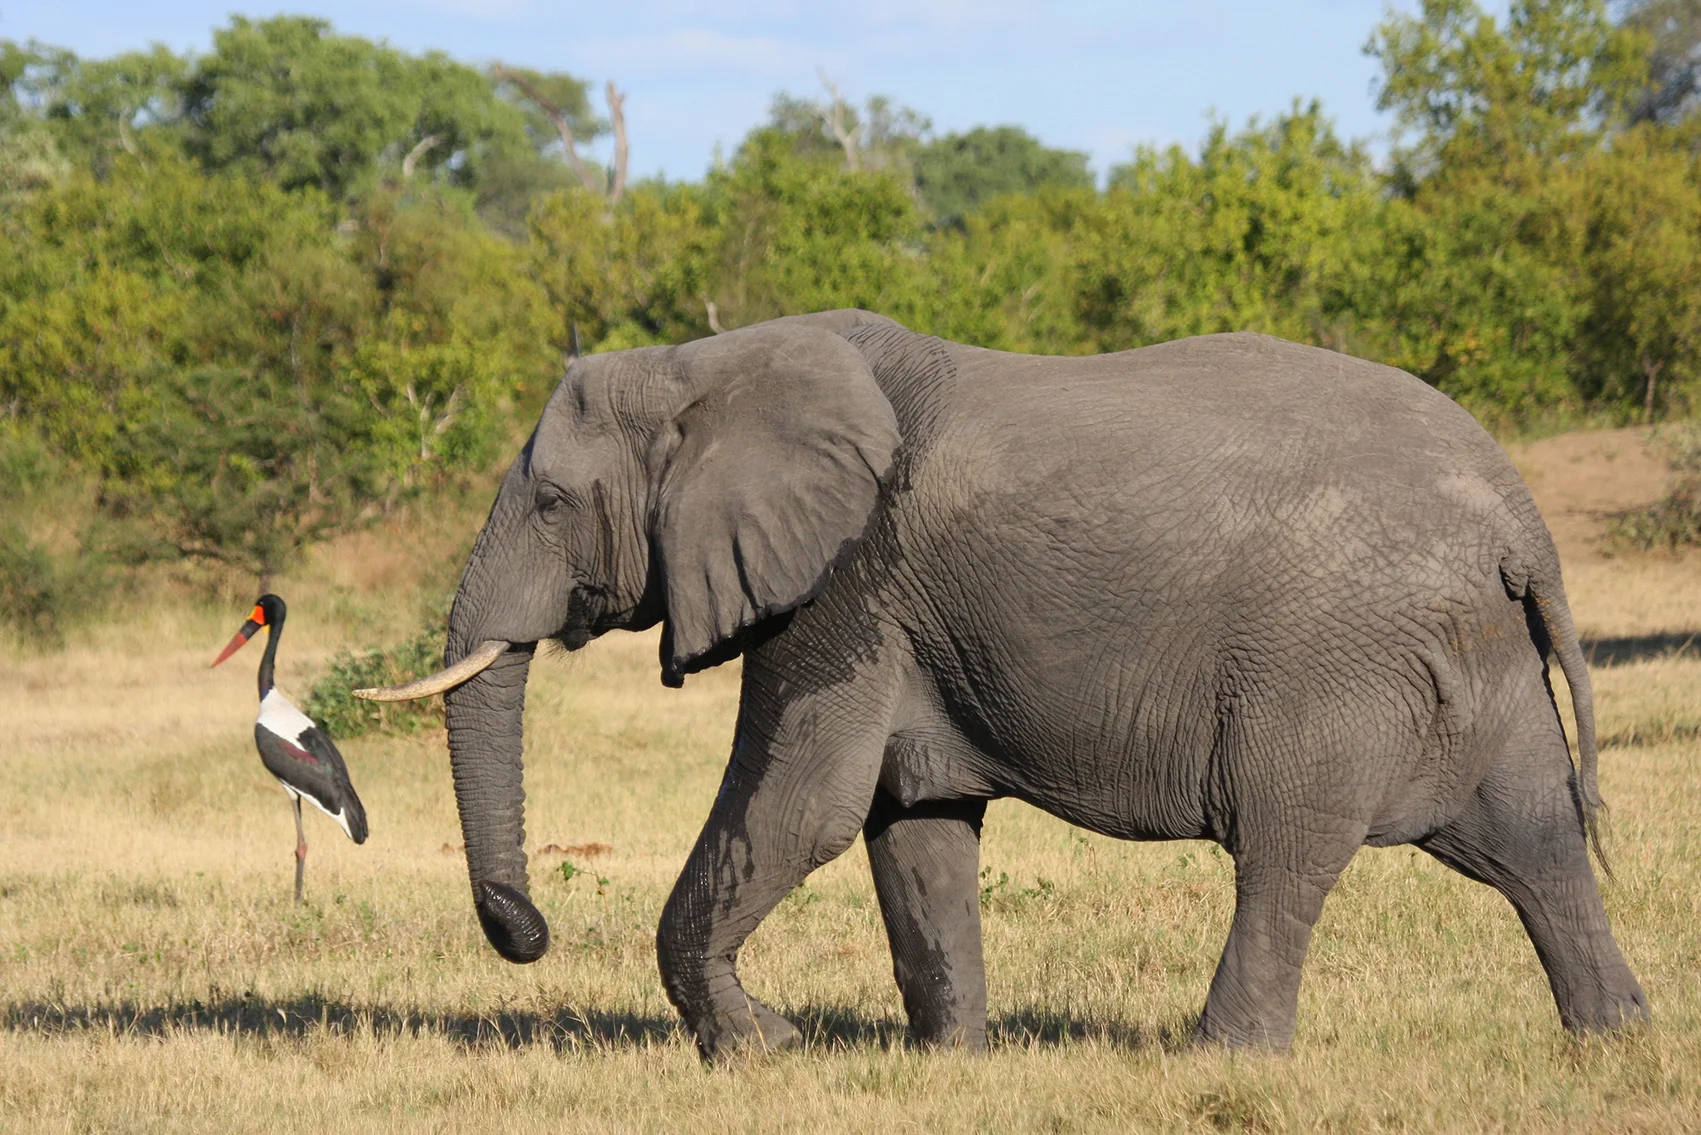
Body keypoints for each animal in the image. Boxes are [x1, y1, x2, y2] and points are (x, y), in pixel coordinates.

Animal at [362, 307, 1646, 1055]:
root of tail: (1519, 513)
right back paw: (1613, 1038)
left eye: (548, 502)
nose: (529, 932)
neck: (710, 359)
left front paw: (766, 1048)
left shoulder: (852, 578)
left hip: (1337, 655)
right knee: (1533, 837)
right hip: (1474, 650)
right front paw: (950, 1061)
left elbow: (803, 808)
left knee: (1287, 846)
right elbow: (913, 824)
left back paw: (1221, 1057)